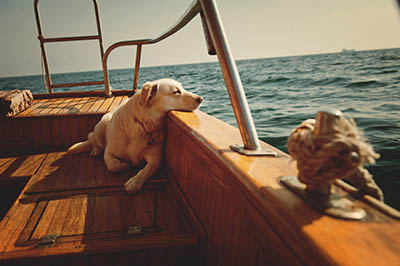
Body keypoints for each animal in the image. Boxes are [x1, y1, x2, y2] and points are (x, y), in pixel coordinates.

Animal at [67, 79, 203, 193]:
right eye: (176, 91)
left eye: (182, 88)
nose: (200, 98)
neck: (142, 124)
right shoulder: (109, 152)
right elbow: (113, 165)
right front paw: (124, 165)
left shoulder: (156, 157)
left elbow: (147, 169)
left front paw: (134, 182)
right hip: (102, 124)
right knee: (94, 139)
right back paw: (96, 150)